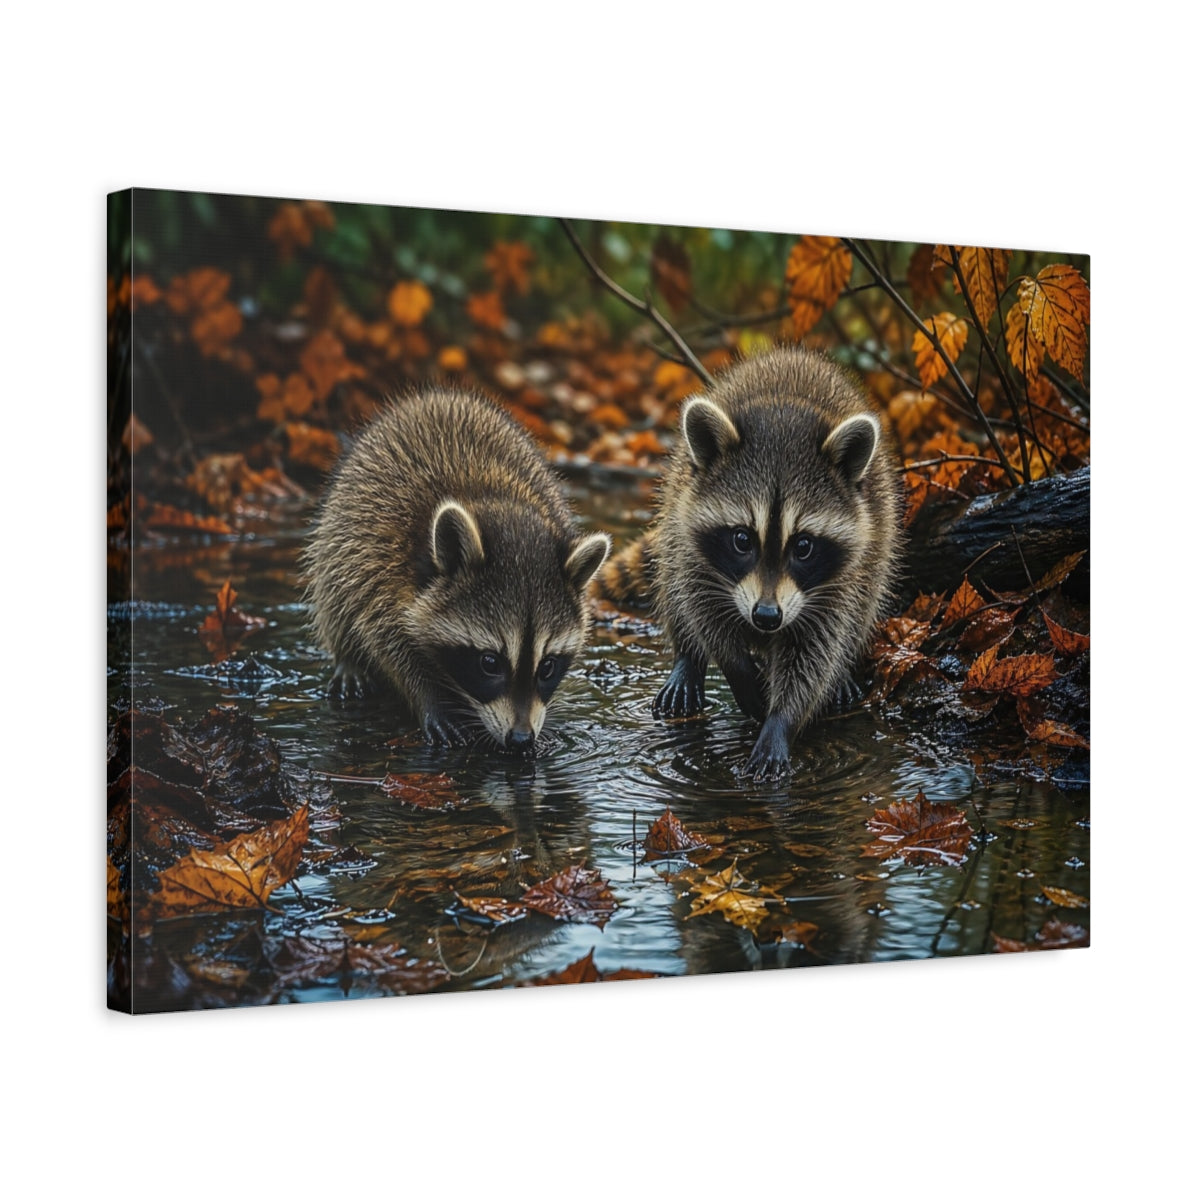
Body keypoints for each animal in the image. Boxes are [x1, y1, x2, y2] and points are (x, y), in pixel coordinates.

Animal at [304, 389, 611, 755]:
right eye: (489, 662)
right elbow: (387, 644)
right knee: (334, 594)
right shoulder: (380, 571)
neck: (495, 502)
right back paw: (347, 658)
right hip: (339, 532)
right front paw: (429, 698)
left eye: (547, 666)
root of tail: (436, 396)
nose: (521, 739)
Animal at [631, 348, 902, 781]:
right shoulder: (697, 553)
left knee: (865, 603)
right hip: (676, 502)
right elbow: (702, 608)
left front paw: (781, 720)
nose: (767, 616)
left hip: (880, 537)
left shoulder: (837, 583)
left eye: (804, 546)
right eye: (742, 539)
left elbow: (816, 648)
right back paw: (687, 660)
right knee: (672, 579)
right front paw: (736, 668)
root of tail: (796, 354)